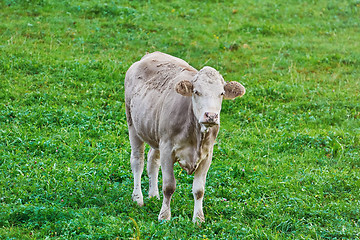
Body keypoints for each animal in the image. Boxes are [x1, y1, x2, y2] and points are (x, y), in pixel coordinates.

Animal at [124, 51, 245, 222]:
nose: (211, 116)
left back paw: (153, 195)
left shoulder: (207, 155)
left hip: (156, 133)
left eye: (221, 93)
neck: (196, 135)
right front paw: (164, 216)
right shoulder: (167, 149)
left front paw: (198, 219)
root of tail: (149, 55)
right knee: (137, 161)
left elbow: (199, 190)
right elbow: (169, 186)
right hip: (133, 125)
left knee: (152, 159)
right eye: (196, 92)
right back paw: (138, 198)